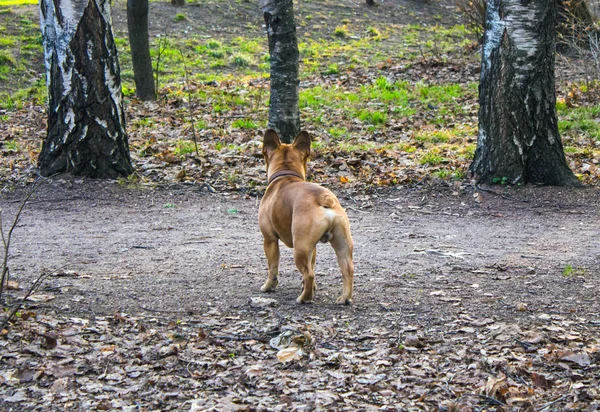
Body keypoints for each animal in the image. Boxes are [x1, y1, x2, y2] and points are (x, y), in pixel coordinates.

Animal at [256, 130, 352, 304]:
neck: (286, 173)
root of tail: (324, 198)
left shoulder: (269, 239)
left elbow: (273, 267)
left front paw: (268, 287)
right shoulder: (312, 247)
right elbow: (312, 263)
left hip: (299, 247)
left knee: (309, 274)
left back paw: (304, 298)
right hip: (341, 243)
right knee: (347, 270)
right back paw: (344, 298)